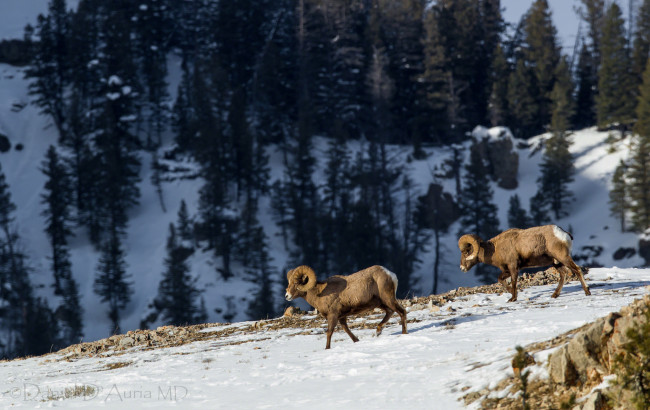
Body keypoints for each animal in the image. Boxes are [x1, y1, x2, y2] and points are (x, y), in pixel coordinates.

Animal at [458, 224, 588, 302]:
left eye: (466, 252)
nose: (462, 268)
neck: (496, 249)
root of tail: (564, 234)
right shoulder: (506, 270)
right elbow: (500, 279)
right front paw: (512, 294)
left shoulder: (513, 268)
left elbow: (514, 282)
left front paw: (513, 298)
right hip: (556, 263)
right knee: (563, 274)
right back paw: (554, 295)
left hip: (563, 258)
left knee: (577, 270)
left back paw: (587, 292)